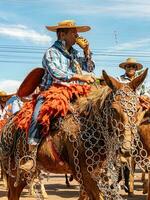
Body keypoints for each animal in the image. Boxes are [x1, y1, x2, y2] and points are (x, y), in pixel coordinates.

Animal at [0, 69, 148, 200]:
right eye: (113, 109)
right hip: (17, 173)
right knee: (13, 194)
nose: (126, 149)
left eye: (136, 108)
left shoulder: (95, 174)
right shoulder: (83, 174)